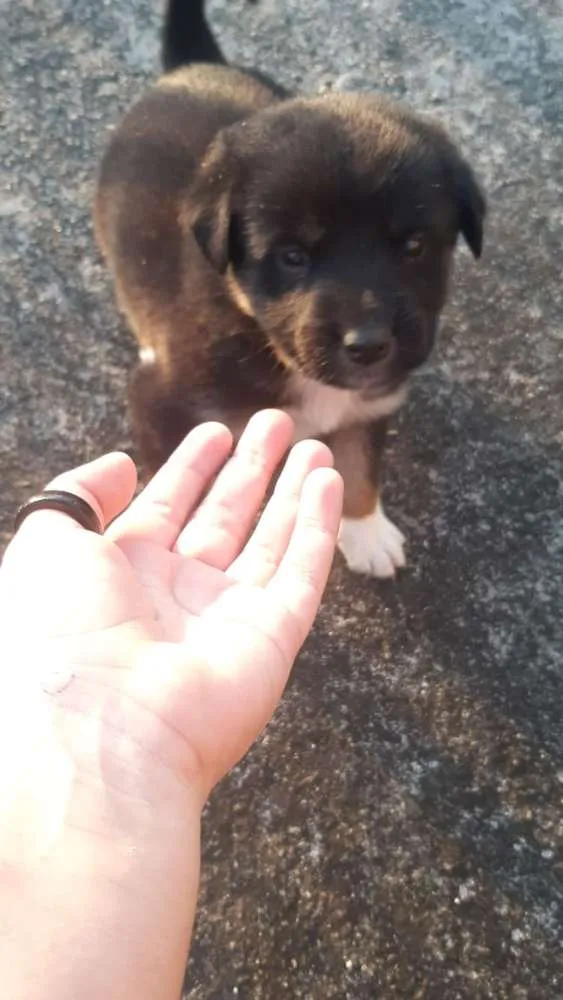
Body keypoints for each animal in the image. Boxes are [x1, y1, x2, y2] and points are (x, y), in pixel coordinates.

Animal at [94, 0, 486, 580]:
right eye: (293, 257)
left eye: (414, 247)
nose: (369, 347)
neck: (266, 342)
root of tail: (194, 67)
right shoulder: (162, 408)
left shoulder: (370, 403)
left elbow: (359, 464)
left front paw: (366, 531)